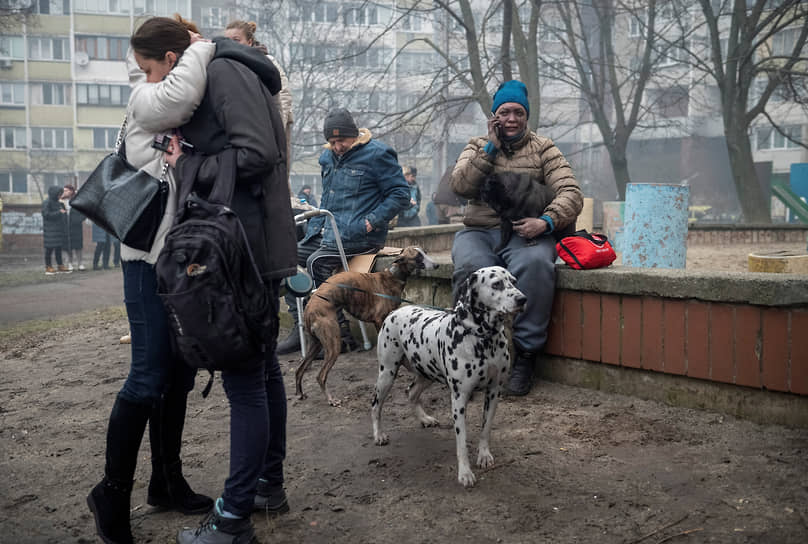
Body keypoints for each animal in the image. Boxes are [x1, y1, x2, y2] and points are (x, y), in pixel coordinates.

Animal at [296, 245, 438, 404]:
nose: (437, 265)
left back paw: (300, 393)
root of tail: (309, 308)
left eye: (425, 253)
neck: (393, 276)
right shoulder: (380, 321)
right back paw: (331, 400)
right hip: (333, 344)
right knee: (320, 376)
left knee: (299, 369)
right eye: (418, 257)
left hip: (316, 344)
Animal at [370, 266, 528, 486]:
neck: (483, 338)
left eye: (514, 281)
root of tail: (396, 311)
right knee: (375, 405)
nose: (523, 299)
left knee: (411, 392)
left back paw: (425, 418)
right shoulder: (459, 399)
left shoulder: (494, 392)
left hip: (426, 374)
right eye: (496, 284)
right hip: (387, 374)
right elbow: (461, 443)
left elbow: (485, 429)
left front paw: (484, 455)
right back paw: (378, 434)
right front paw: (465, 473)